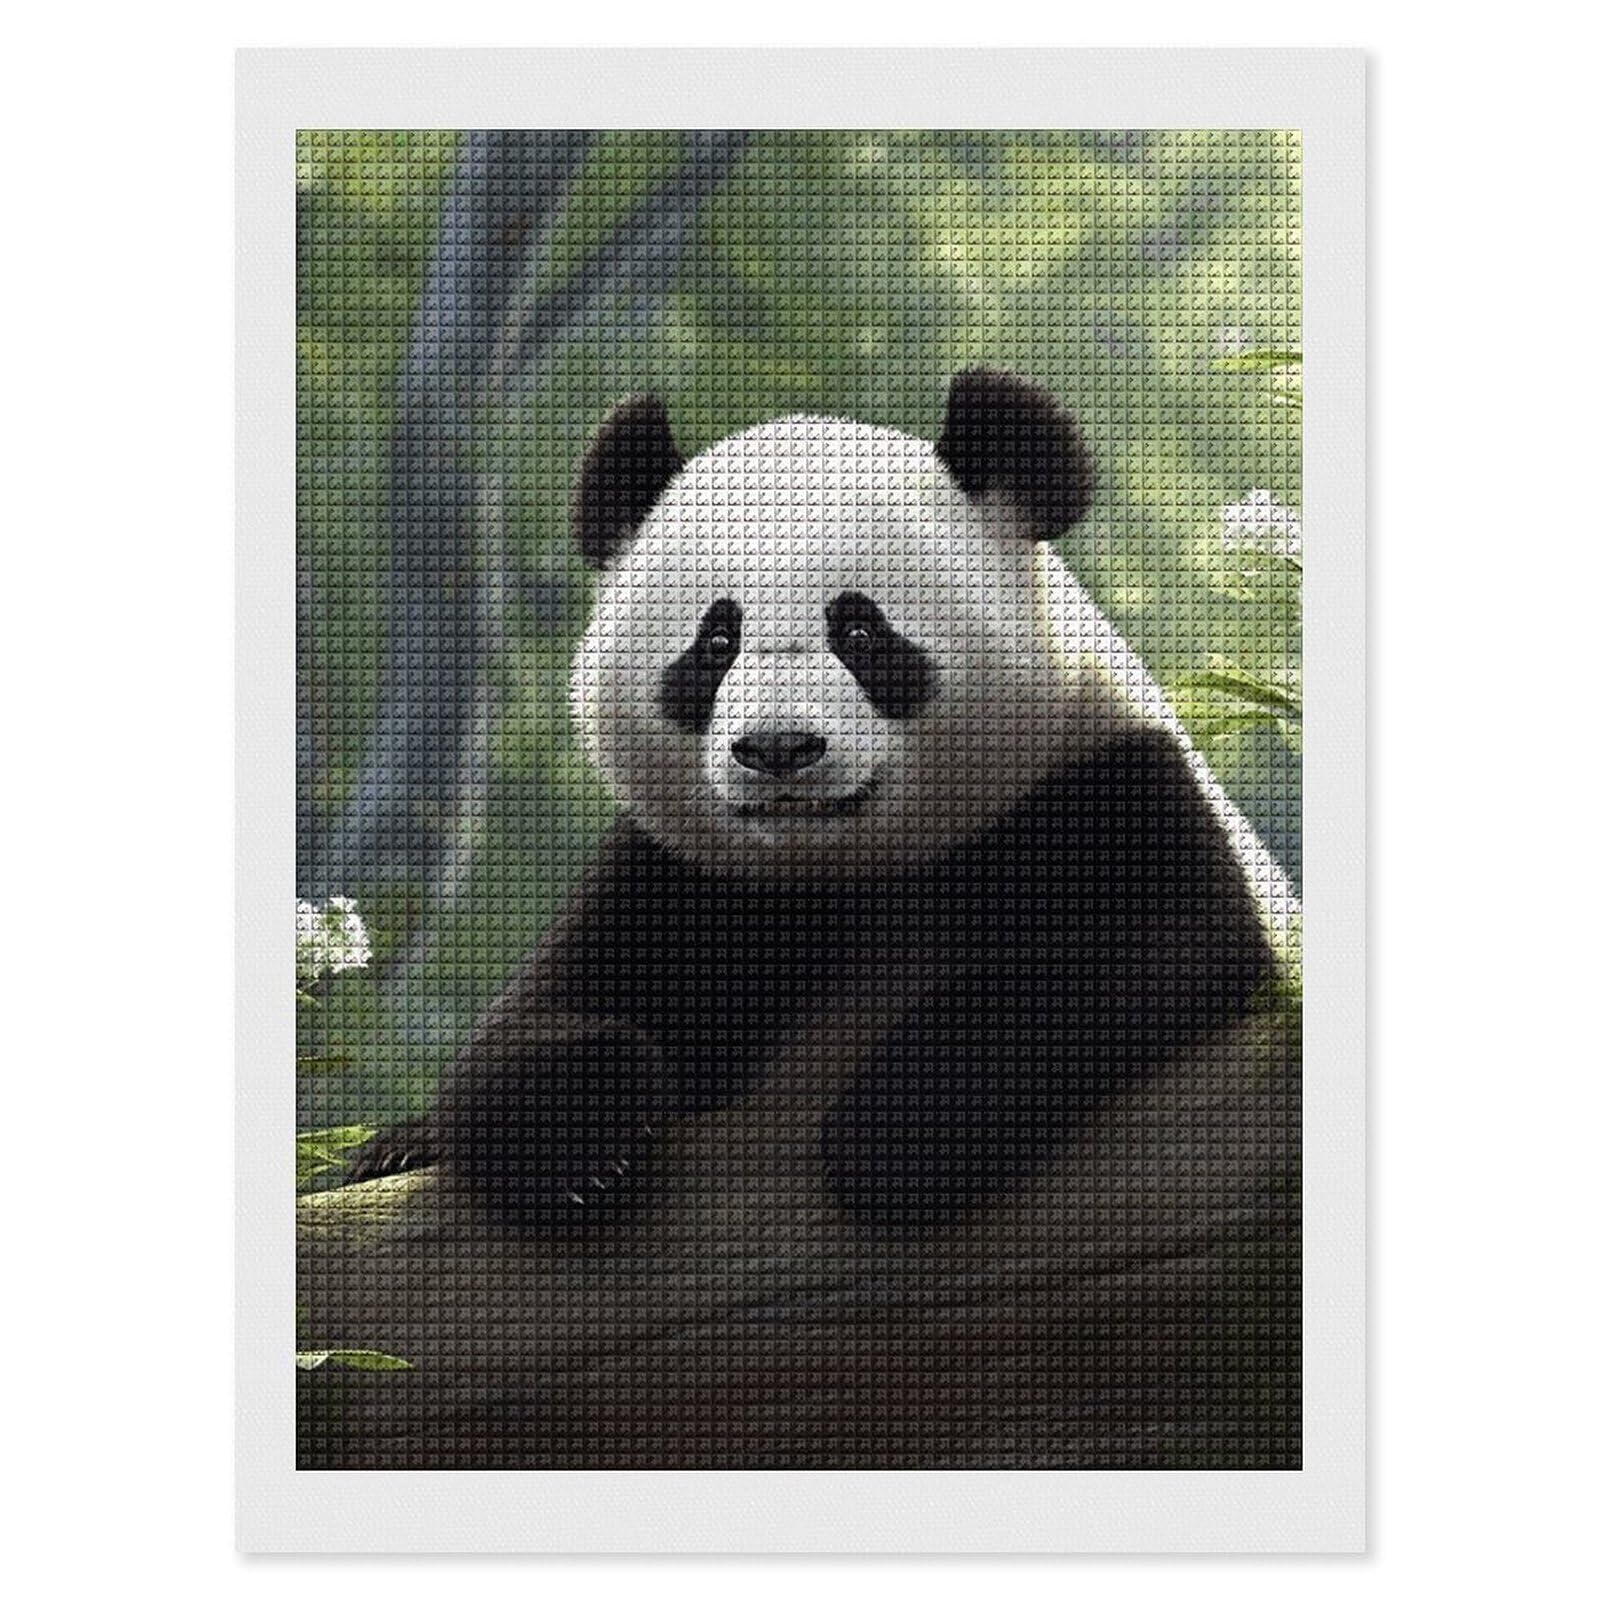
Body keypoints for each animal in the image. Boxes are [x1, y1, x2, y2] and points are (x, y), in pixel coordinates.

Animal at [352, 368, 1297, 1230]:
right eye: (716, 641)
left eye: (861, 630)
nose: (779, 749)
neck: (851, 872)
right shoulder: (687, 874)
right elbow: (536, 1022)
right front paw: (579, 1144)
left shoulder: (1101, 787)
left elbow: (1140, 953)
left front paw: (896, 1136)